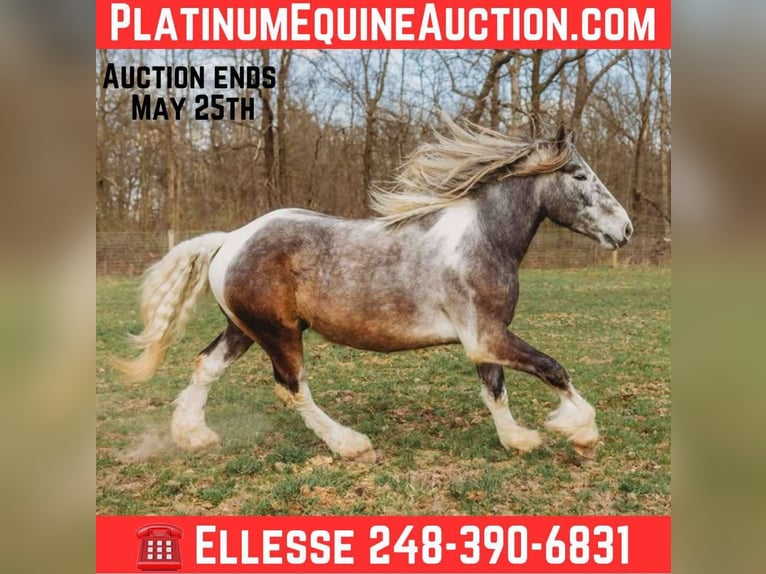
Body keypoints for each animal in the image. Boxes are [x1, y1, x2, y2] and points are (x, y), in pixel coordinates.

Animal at [118, 118, 632, 462]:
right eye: (580, 176)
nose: (625, 229)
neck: (483, 238)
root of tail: (230, 240)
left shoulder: (483, 338)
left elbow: (495, 390)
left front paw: (519, 439)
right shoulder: (487, 336)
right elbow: (552, 369)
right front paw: (582, 433)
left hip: (243, 329)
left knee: (206, 365)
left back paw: (194, 436)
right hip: (279, 334)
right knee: (292, 387)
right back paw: (352, 445)